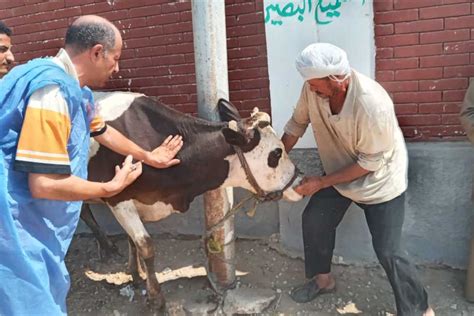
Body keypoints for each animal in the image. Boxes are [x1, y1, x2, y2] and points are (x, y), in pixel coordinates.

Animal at [83, 91, 302, 308]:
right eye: (276, 153)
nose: (299, 180)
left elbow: (132, 241)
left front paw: (136, 274)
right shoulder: (118, 198)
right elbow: (145, 245)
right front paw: (156, 298)